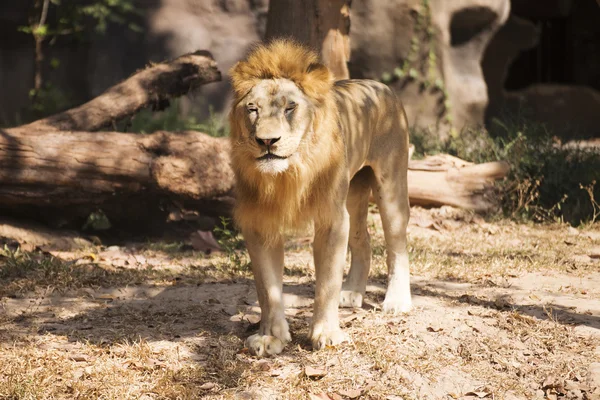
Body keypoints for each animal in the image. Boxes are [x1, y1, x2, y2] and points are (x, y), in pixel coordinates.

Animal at [227, 39, 410, 356]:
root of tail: (380, 86)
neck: (287, 175)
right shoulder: (260, 222)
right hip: (354, 193)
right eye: (252, 109)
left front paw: (326, 334)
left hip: (391, 186)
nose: (266, 141)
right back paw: (351, 293)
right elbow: (267, 288)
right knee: (363, 240)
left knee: (397, 244)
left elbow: (326, 283)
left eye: (290, 107)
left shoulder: (331, 217)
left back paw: (397, 301)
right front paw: (270, 337)